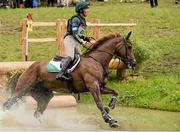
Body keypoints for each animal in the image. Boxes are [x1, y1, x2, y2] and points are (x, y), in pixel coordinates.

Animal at [2, 32, 136, 128]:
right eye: (129, 47)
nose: (134, 63)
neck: (96, 61)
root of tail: (25, 70)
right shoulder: (93, 86)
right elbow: (99, 103)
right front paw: (109, 120)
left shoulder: (101, 87)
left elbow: (115, 92)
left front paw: (110, 106)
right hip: (21, 90)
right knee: (7, 104)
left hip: (45, 95)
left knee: (37, 113)